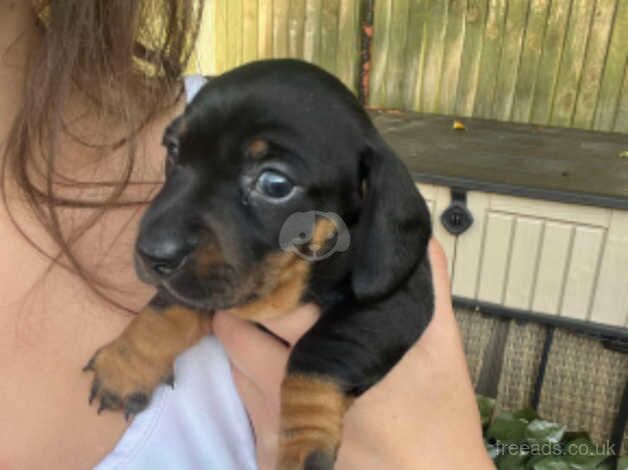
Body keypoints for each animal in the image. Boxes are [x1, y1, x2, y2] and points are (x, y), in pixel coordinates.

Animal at [86, 58, 434, 470]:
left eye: (275, 183)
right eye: (172, 149)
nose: (153, 254)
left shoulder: (395, 302)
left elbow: (318, 351)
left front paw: (303, 441)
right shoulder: (210, 284)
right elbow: (167, 307)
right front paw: (125, 366)